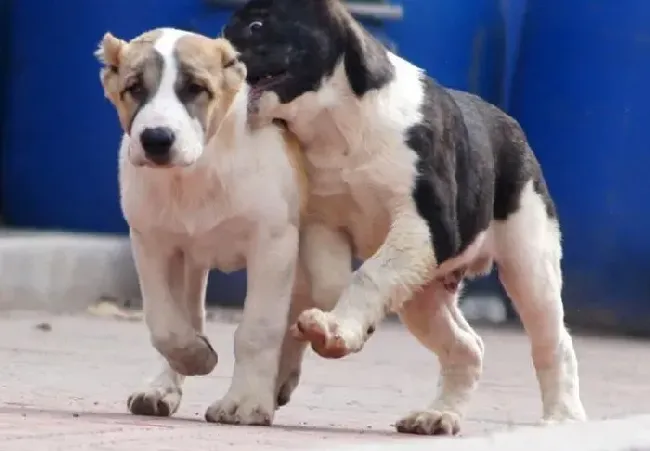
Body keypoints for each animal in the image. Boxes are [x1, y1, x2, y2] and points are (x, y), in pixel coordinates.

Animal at [95, 29, 308, 428]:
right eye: (134, 87)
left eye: (195, 87)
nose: (156, 139)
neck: (195, 174)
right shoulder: (153, 243)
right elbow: (166, 321)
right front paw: (191, 360)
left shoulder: (273, 243)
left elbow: (258, 327)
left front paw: (245, 402)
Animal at [221, 0, 584, 438]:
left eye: (257, 26)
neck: (340, 124)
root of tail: (510, 124)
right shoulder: (327, 224)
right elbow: (333, 281)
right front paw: (340, 327)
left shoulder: (426, 225)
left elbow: (368, 275)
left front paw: (338, 327)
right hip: (423, 293)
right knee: (466, 346)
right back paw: (439, 415)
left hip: (529, 265)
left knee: (552, 341)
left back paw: (562, 418)